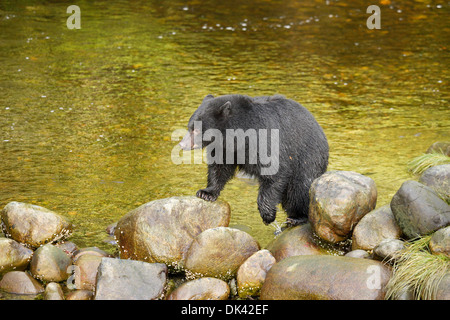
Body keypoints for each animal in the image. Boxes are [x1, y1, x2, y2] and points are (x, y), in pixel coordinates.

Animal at [179, 94, 330, 226]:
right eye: (189, 127)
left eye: (196, 130)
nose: (182, 144)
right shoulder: (225, 149)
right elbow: (219, 167)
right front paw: (206, 193)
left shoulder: (265, 139)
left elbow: (275, 172)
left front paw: (268, 215)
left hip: (308, 158)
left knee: (300, 188)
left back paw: (297, 217)